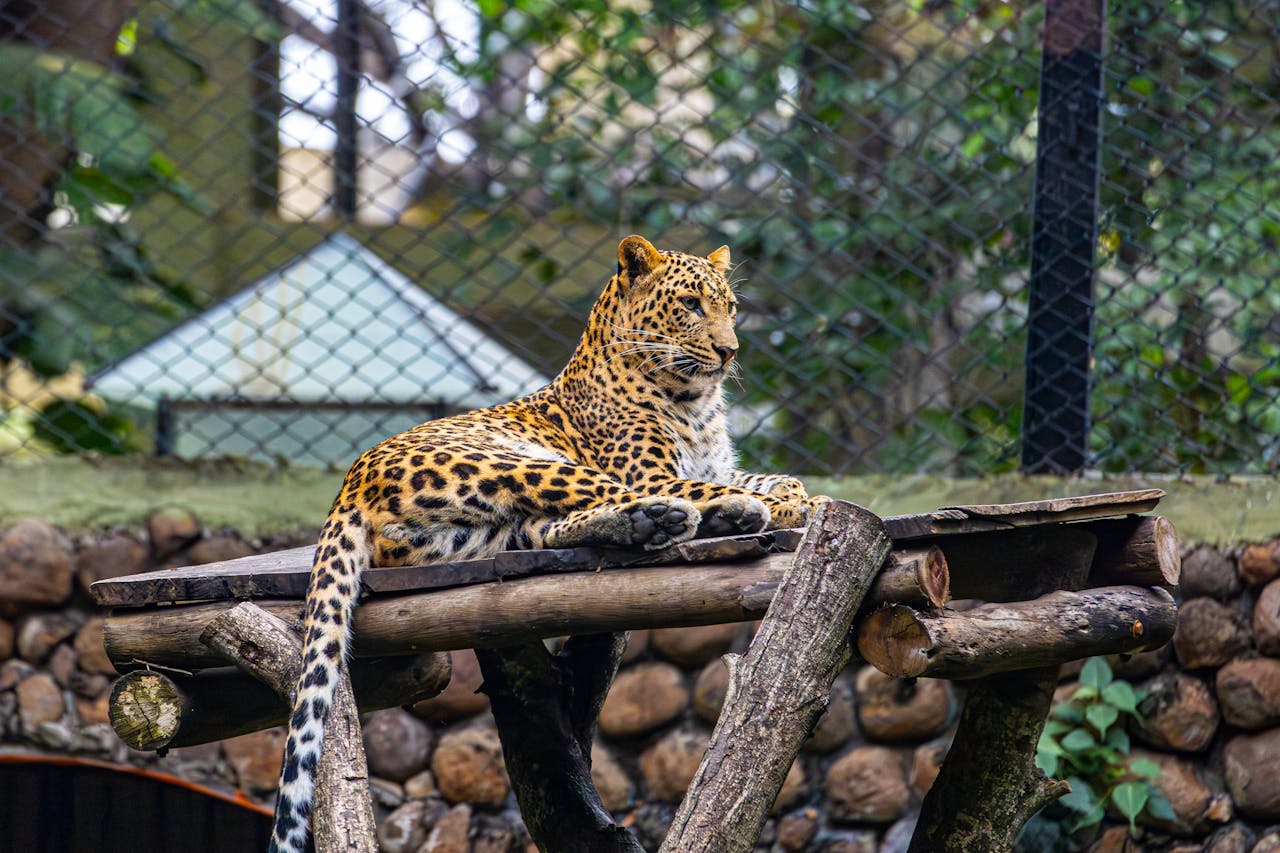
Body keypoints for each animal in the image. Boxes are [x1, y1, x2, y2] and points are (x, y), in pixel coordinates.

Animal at [268, 234, 827, 853]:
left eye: (729, 306)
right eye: (691, 305)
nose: (729, 352)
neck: (697, 403)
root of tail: (350, 483)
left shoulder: (717, 463)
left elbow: (777, 477)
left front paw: (802, 497)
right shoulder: (653, 472)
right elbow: (719, 485)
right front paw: (779, 505)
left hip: (484, 531)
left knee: (548, 525)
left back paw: (656, 524)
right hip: (516, 460)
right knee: (622, 498)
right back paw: (705, 516)